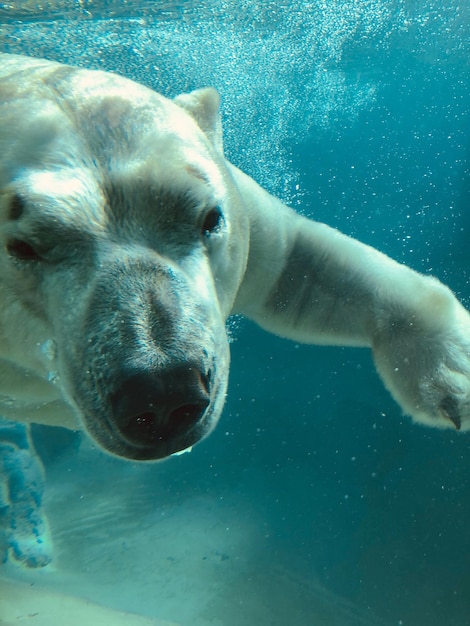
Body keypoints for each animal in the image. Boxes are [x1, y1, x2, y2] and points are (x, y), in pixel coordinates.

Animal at [0, 53, 468, 460]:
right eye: (22, 246)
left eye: (209, 217)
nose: (163, 389)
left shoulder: (244, 218)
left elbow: (302, 270)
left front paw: (454, 376)